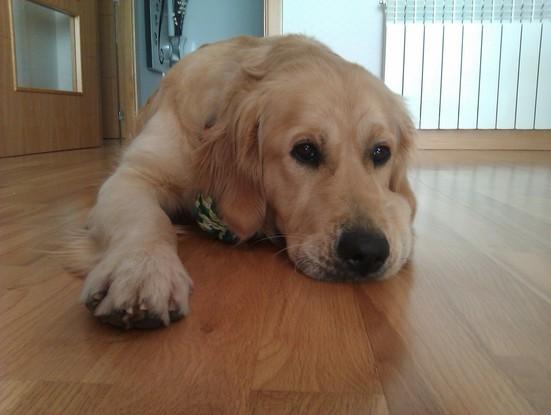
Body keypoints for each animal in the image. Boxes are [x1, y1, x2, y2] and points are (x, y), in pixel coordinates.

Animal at [75, 35, 416, 328]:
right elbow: (146, 218)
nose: (368, 251)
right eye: (305, 150)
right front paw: (142, 270)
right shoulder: (134, 174)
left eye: (381, 152)